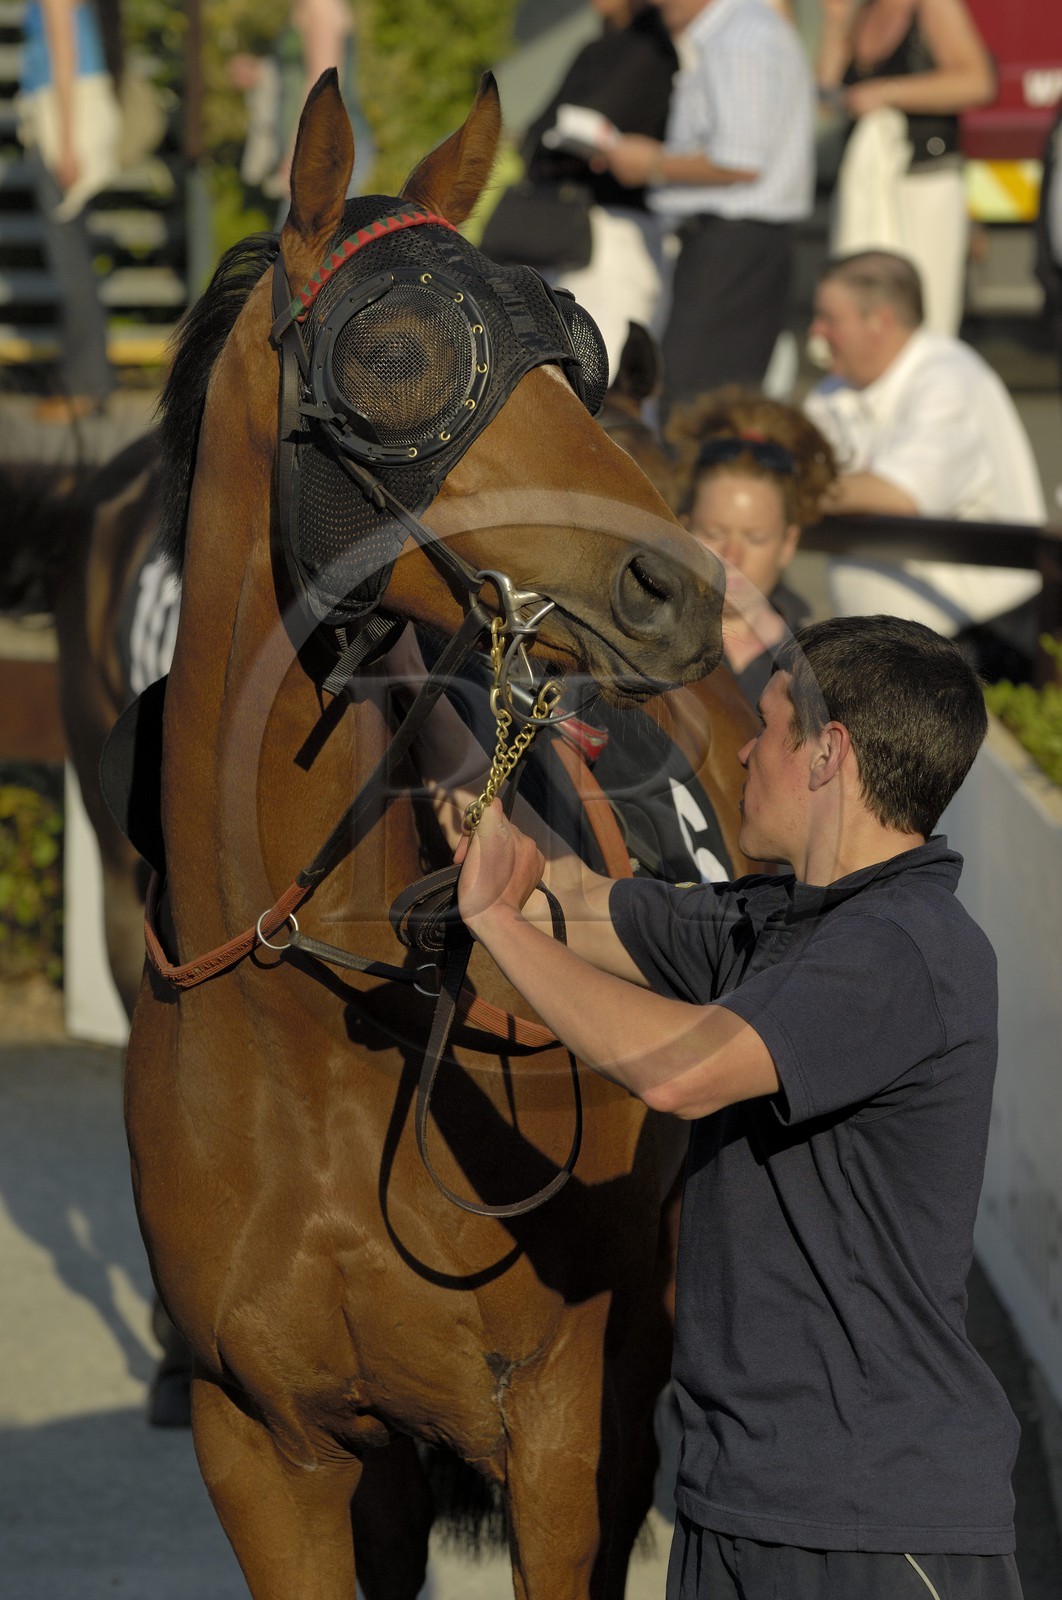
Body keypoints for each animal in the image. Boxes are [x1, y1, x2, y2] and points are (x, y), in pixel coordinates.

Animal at [113, 70, 758, 1599]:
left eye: (575, 350)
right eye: (397, 354)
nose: (677, 584)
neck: (300, 1011)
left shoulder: (567, 1432)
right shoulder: (271, 1454)